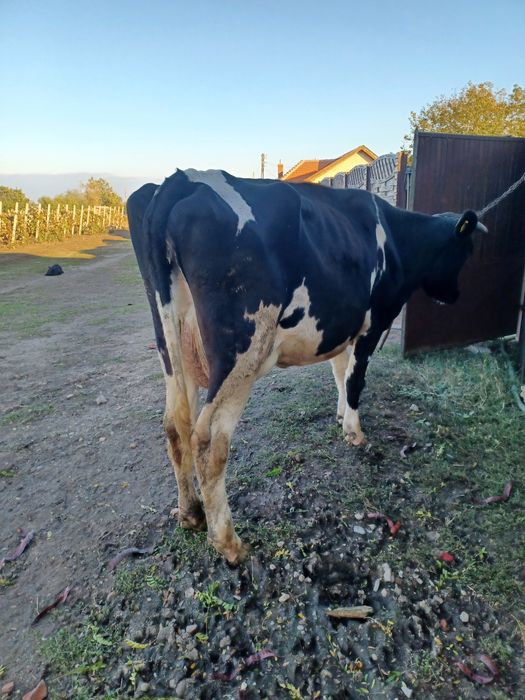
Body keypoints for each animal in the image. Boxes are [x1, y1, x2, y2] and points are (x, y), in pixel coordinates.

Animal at [127, 168, 486, 564]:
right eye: (466, 251)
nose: (453, 295)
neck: (398, 239)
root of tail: (184, 179)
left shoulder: (341, 326)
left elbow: (340, 373)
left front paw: (341, 415)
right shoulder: (373, 324)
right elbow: (355, 379)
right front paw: (354, 432)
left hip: (172, 343)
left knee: (175, 424)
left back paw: (191, 513)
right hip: (243, 351)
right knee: (208, 440)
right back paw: (230, 543)